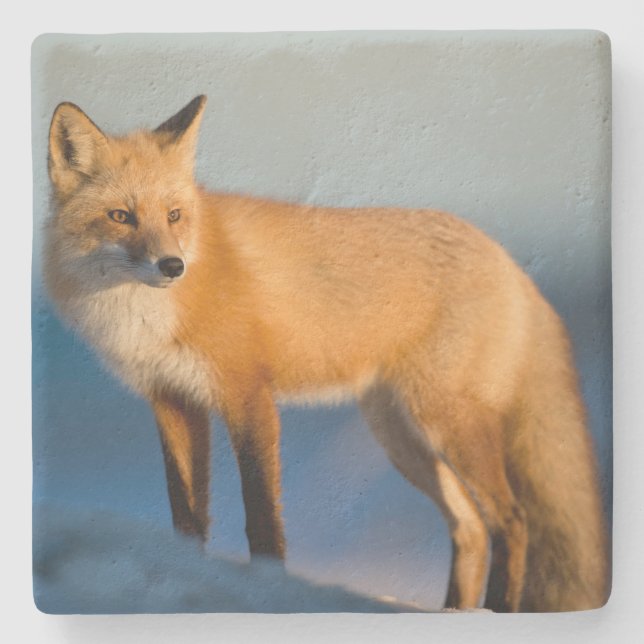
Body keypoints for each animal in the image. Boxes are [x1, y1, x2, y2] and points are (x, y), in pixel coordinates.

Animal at [43, 95, 609, 612]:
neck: (147, 315)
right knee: (470, 528)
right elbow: (187, 516)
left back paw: (495, 611)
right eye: (121, 216)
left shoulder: (248, 394)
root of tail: (509, 261)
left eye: (174, 215)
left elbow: (261, 514)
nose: (172, 266)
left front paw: (270, 588)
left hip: (447, 423)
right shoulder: (173, 401)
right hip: (402, 437)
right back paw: (456, 611)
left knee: (512, 521)